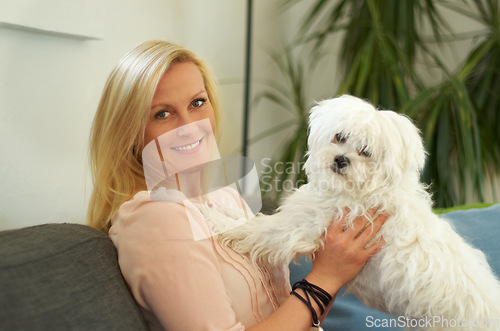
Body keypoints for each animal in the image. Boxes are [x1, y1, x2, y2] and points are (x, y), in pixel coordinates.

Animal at [196, 94, 500, 330]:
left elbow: (251, 228)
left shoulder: (295, 228)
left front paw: (206, 215)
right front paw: (217, 208)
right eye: (339, 137)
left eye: (366, 152)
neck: (362, 190)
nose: (341, 159)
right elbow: (245, 218)